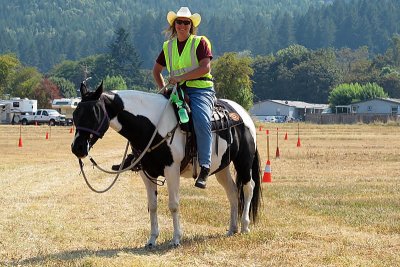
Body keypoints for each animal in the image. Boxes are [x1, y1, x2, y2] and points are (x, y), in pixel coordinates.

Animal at [71, 82, 262, 248]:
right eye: (75, 114)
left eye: (94, 113)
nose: (77, 147)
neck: (153, 126)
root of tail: (242, 114)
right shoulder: (147, 173)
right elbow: (153, 206)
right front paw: (152, 240)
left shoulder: (172, 169)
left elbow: (173, 204)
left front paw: (176, 239)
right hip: (221, 167)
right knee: (232, 191)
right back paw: (232, 228)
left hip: (243, 162)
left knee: (248, 188)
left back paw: (244, 226)